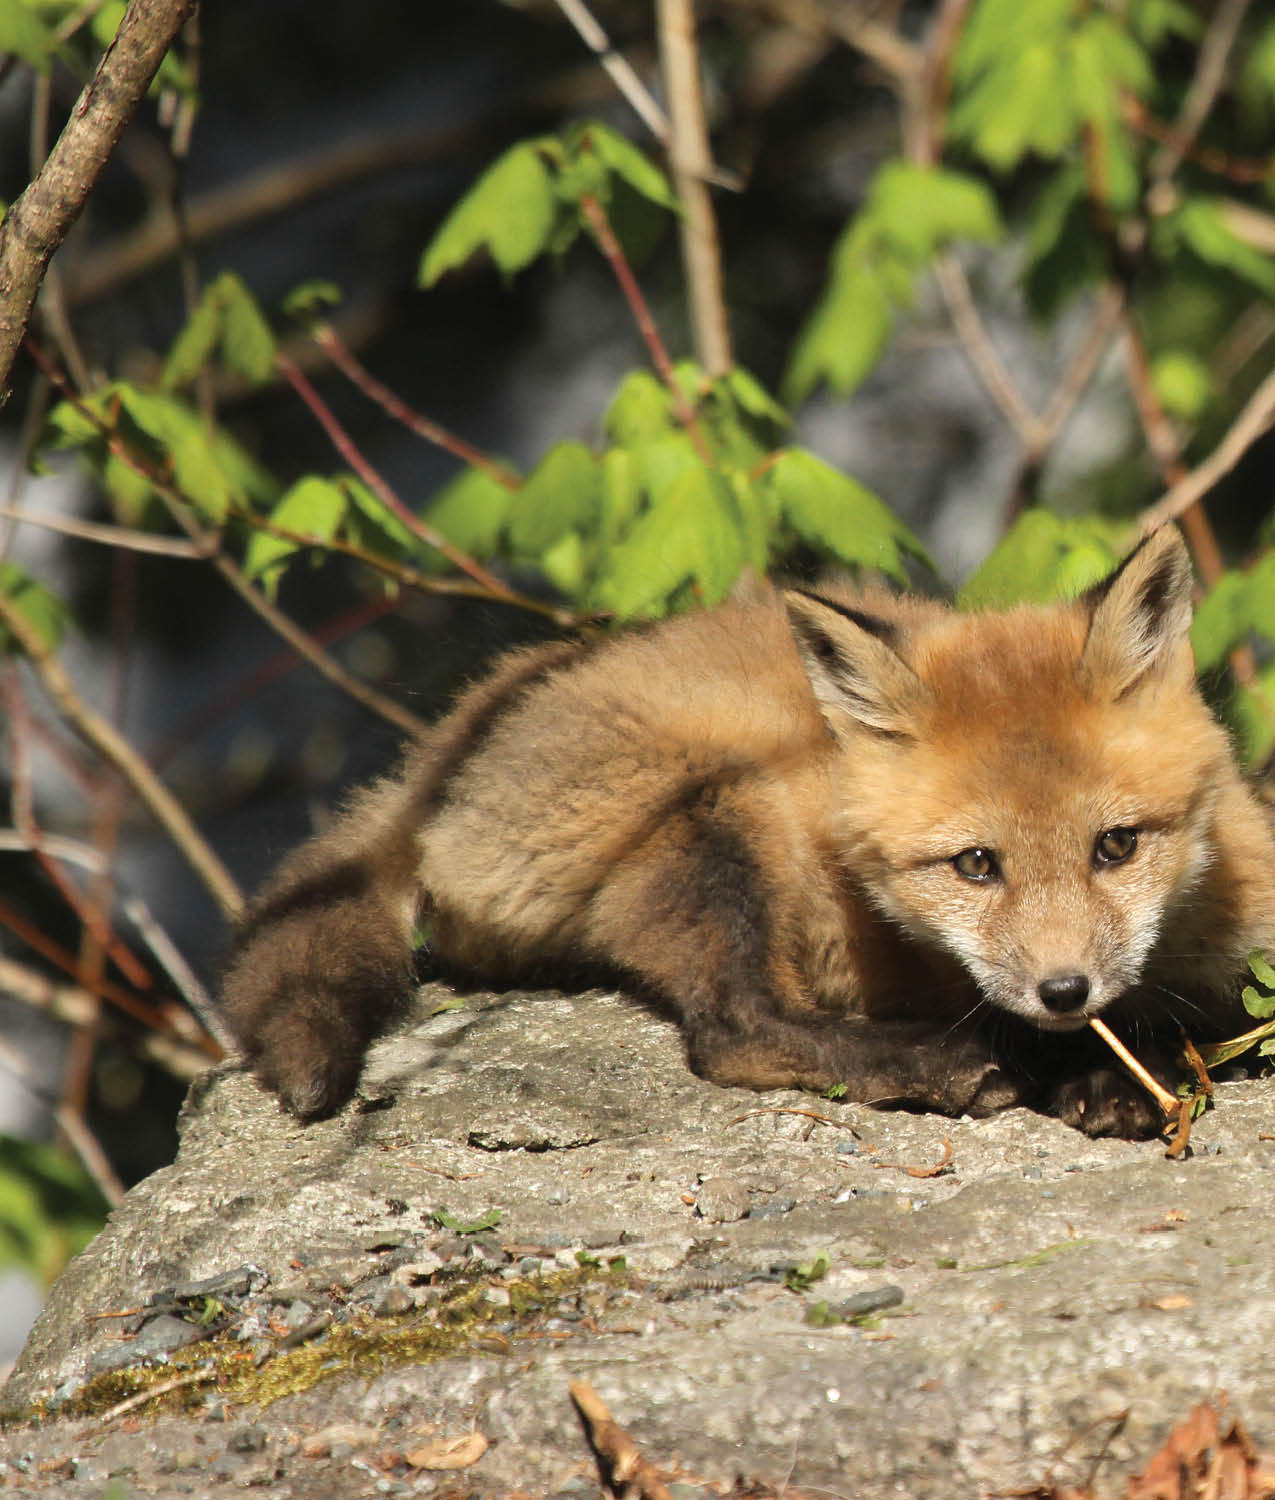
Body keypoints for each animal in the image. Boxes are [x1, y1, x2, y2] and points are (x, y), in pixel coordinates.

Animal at [219, 528, 1272, 1134]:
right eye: (976, 865)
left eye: (1115, 846)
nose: (1065, 991)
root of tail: (448, 750)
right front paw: (1098, 1070)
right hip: (725, 810)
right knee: (729, 1034)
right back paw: (934, 1068)